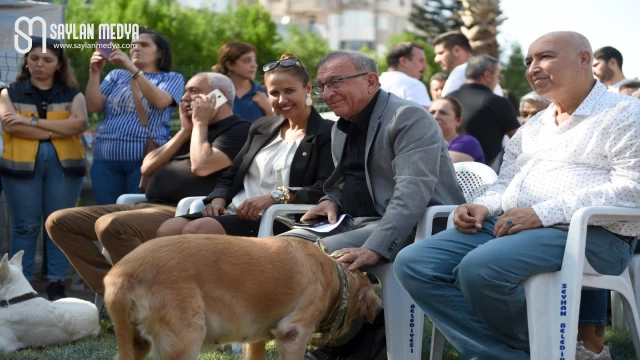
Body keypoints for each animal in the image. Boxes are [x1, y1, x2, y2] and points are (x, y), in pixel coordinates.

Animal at [104, 235, 380, 358]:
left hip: (137, 342)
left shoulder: (256, 339)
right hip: (185, 341)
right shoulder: (293, 334)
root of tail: (121, 273)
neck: (332, 273)